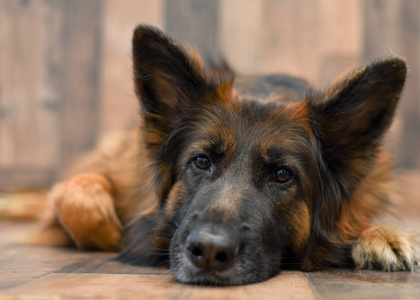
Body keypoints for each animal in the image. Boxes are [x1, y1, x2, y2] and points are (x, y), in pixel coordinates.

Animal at [36, 24, 416, 284]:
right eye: (201, 161)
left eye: (283, 175)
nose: (209, 252)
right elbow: (77, 201)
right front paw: (123, 236)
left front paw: (381, 234)